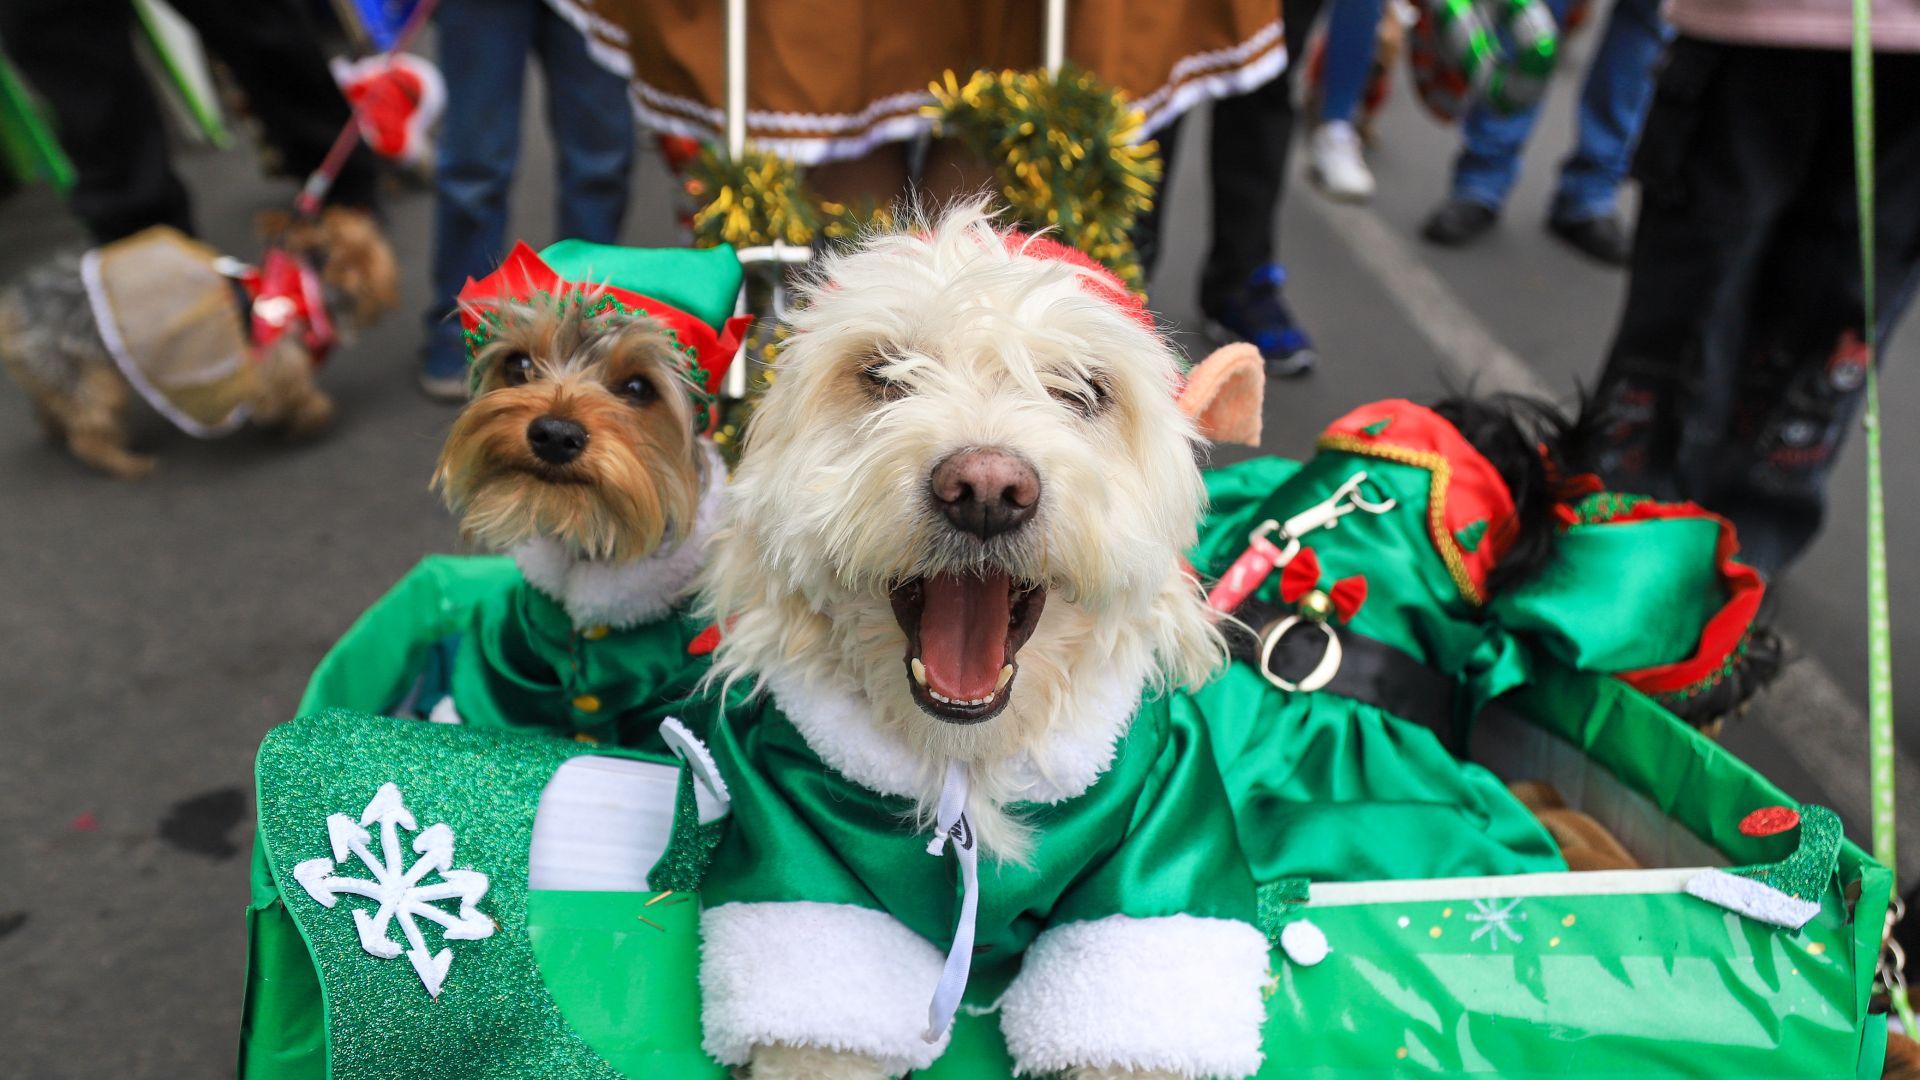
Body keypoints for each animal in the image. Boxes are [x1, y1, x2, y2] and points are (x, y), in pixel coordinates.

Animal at [0, 208, 395, 476]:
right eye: (371, 250)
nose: (367, 212)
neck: (298, 291)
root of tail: (17, 305)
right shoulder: (276, 364)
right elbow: (297, 395)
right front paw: (311, 420)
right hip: (86, 373)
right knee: (88, 430)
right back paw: (127, 463)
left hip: (55, 370)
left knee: (56, 406)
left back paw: (56, 430)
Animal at [698, 208, 1267, 1076]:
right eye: (882, 373)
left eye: (1084, 389)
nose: (988, 490)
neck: (969, 766)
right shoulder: (796, 863)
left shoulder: (1165, 858)